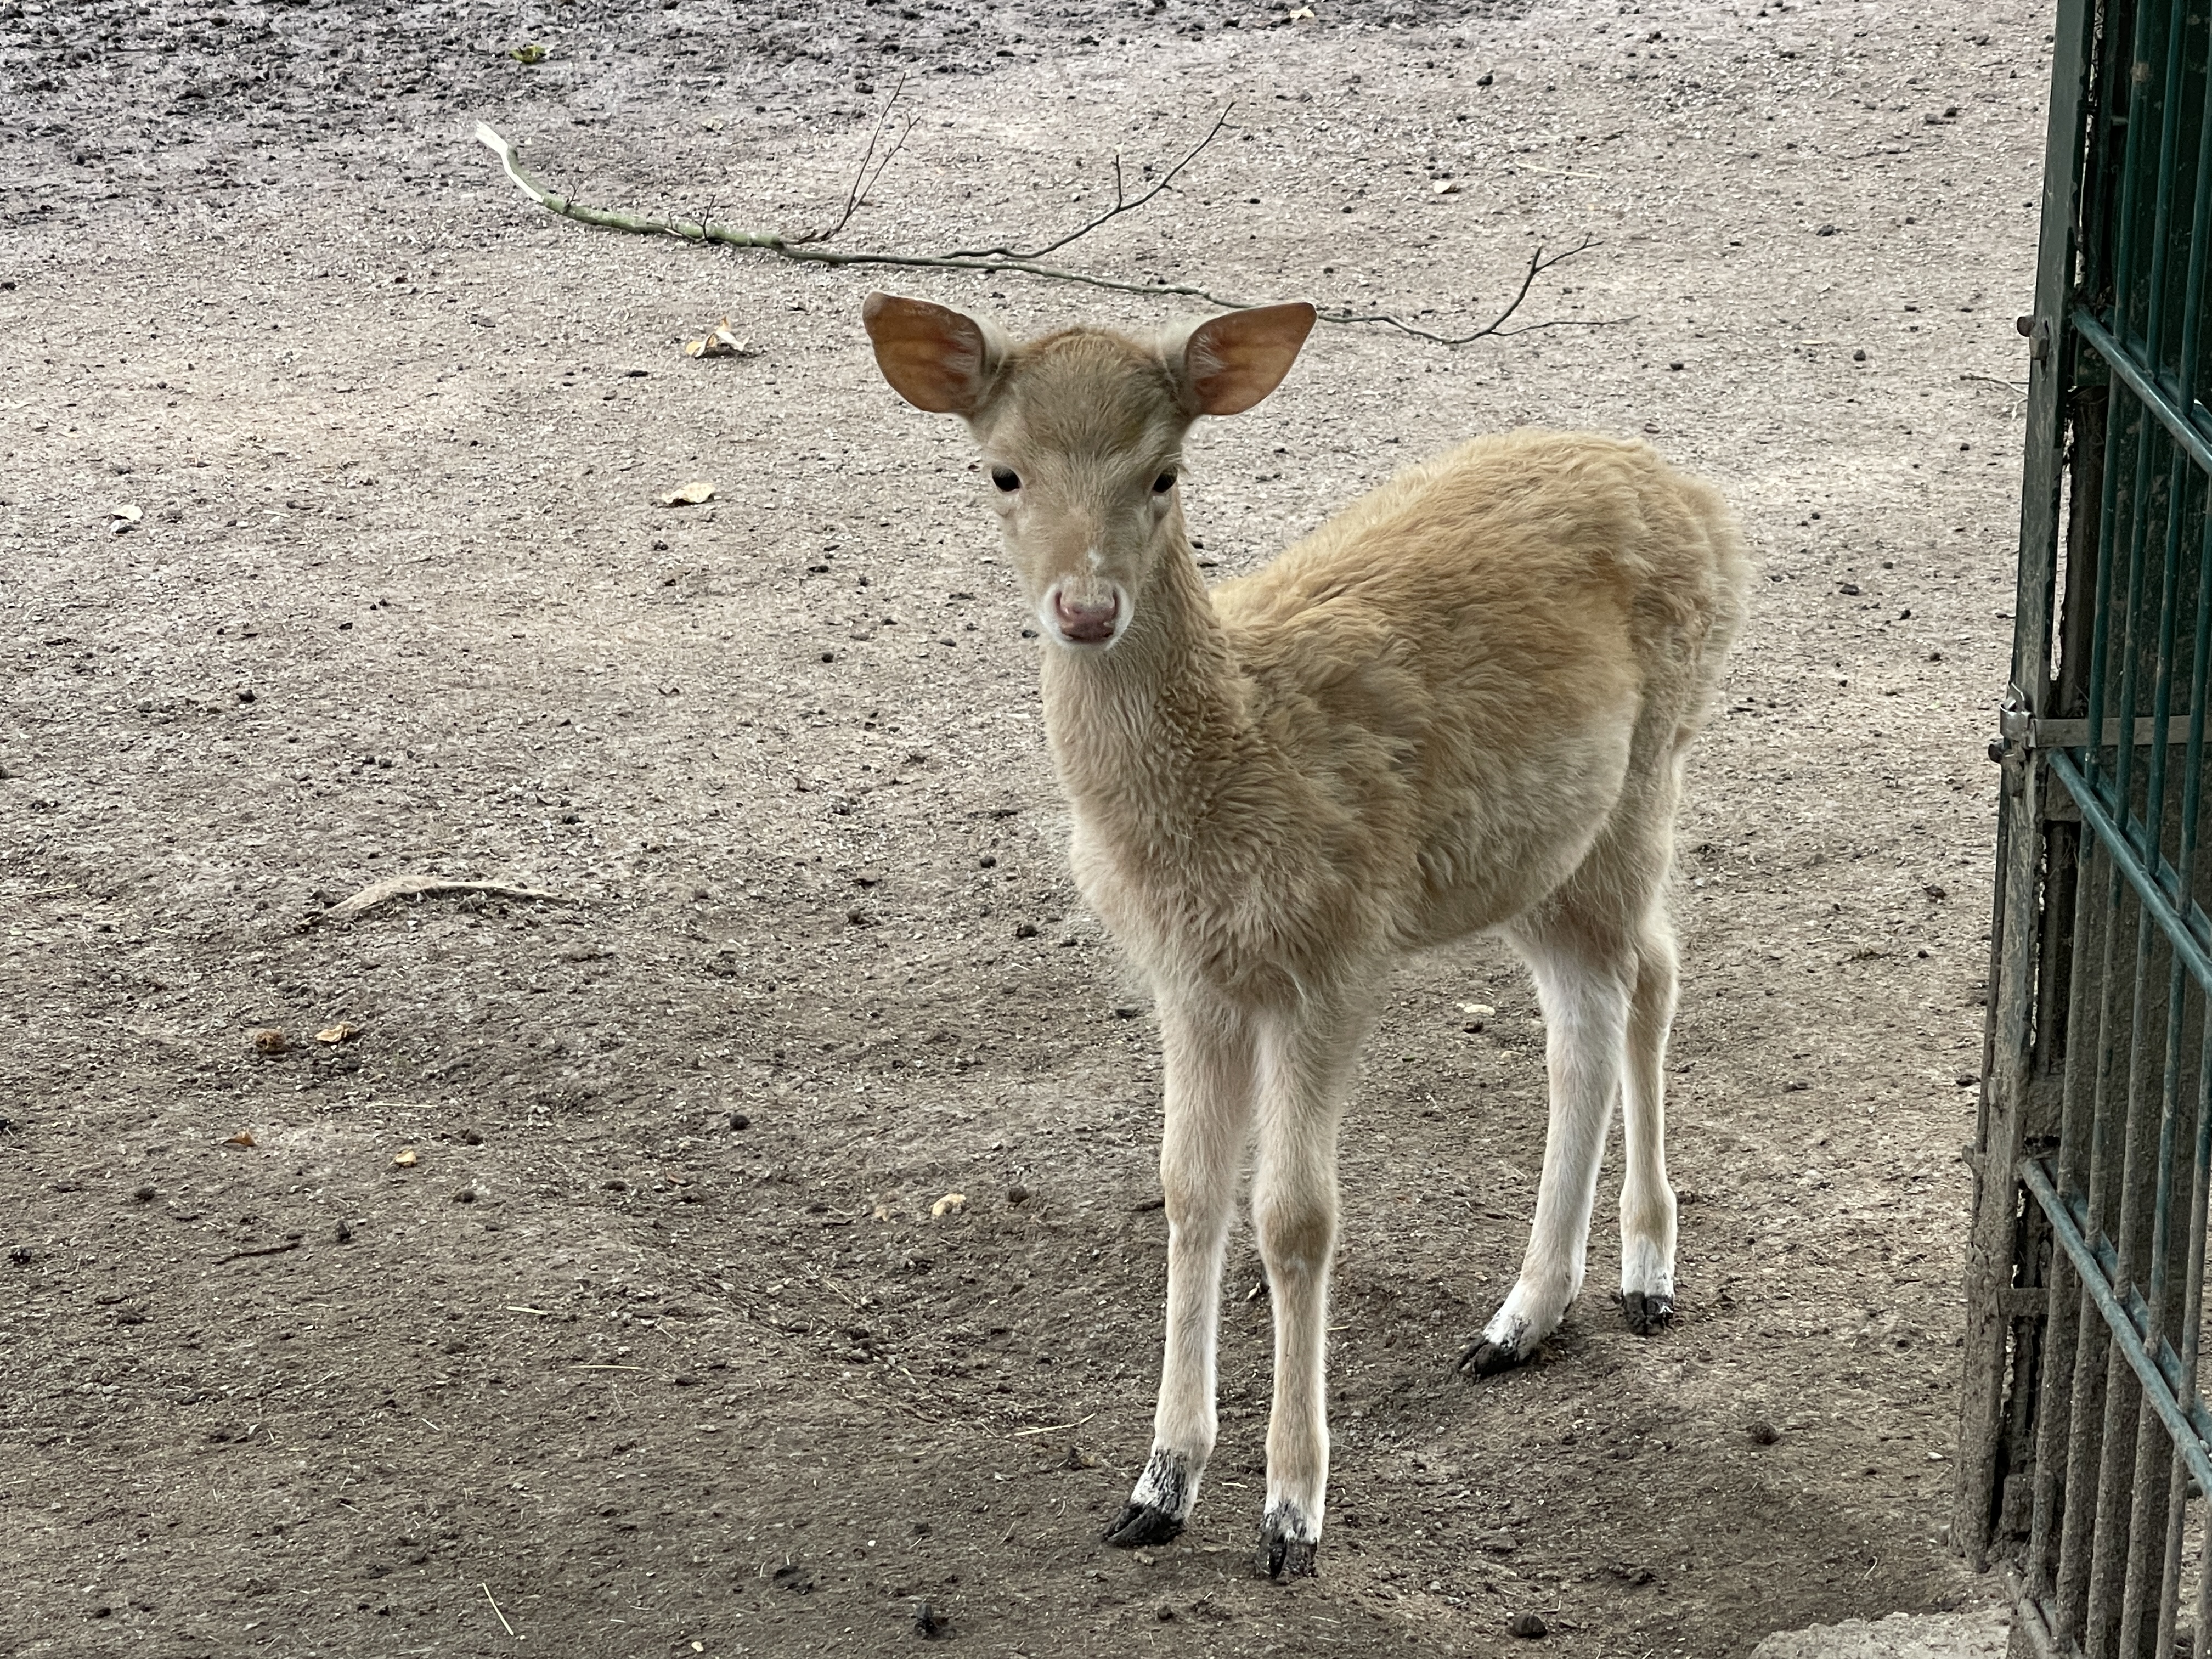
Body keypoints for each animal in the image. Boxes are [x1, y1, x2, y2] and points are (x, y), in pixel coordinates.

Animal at [860, 291, 1751, 1581]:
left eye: (1165, 473)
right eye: (1003, 471)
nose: (1086, 608)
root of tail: (1697, 498)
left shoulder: (1338, 949)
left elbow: (1294, 1217)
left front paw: (1293, 1512)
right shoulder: (1186, 977)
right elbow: (1187, 1190)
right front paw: (1158, 1484)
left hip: (1651, 767)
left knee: (1651, 977)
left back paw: (1646, 1278)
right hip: (1535, 851)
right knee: (1590, 1010)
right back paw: (1521, 1318)